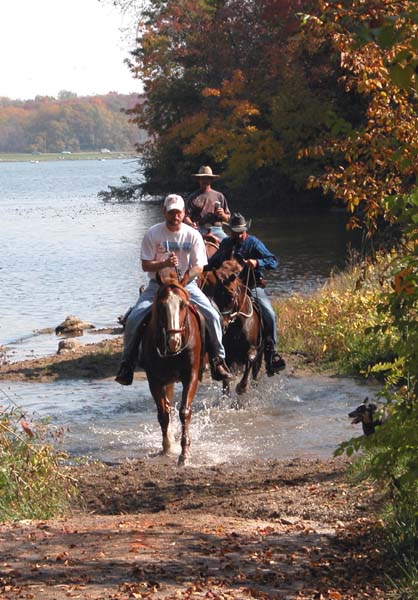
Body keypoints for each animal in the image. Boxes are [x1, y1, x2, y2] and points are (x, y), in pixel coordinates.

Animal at [140, 270, 204, 464]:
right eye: (161, 306)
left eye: (183, 304)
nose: (173, 341)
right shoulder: (154, 379)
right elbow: (163, 414)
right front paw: (167, 446)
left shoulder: (191, 375)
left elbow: (184, 412)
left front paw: (184, 453)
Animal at [212, 260, 262, 396]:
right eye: (215, 296)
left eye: (231, 297)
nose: (222, 324)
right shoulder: (228, 353)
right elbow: (226, 379)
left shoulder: (252, 349)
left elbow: (250, 358)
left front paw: (242, 387)